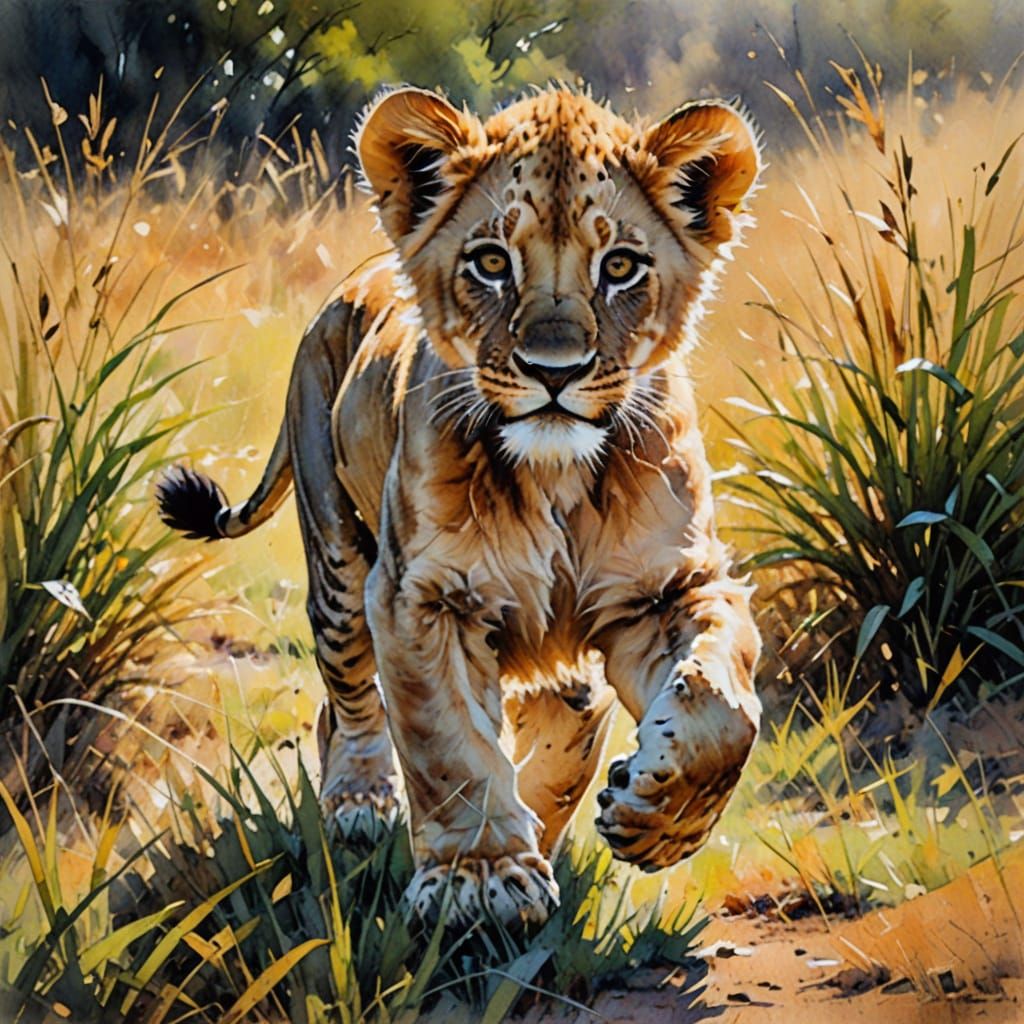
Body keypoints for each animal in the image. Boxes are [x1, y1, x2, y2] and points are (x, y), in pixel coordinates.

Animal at [157, 85, 763, 927]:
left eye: (619, 267)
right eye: (491, 263)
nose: (554, 371)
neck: (553, 477)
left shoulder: (667, 589)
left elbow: (721, 706)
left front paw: (654, 815)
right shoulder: (420, 597)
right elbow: (448, 743)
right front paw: (482, 879)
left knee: (569, 709)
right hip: (338, 557)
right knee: (347, 697)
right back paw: (359, 803)